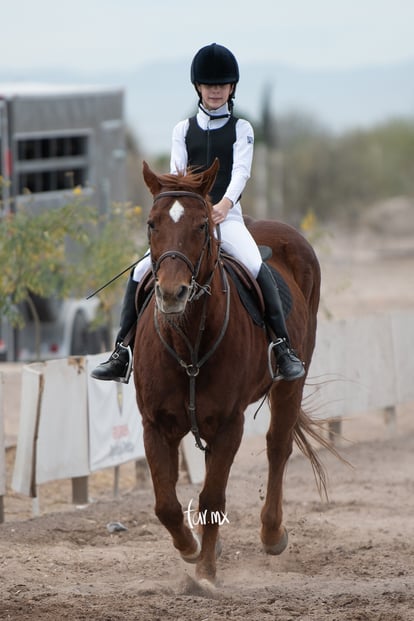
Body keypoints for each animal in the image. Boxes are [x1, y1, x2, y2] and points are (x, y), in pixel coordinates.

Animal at [134, 159, 326, 588]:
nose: (172, 293)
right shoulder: (155, 424)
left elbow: (212, 496)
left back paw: (272, 534)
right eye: (152, 224)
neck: (189, 341)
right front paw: (191, 549)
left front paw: (205, 572)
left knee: (278, 447)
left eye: (202, 226)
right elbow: (165, 504)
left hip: (291, 383)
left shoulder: (228, 425)